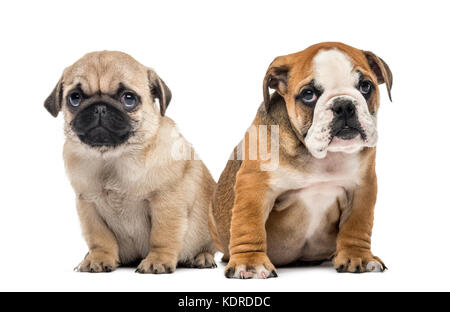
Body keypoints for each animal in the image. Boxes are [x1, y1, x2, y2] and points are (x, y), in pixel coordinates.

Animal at [44, 50, 217, 272]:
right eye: (74, 98)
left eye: (128, 98)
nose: (100, 107)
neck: (113, 158)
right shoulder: (89, 206)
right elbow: (99, 238)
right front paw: (99, 258)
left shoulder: (166, 203)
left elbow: (162, 235)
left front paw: (157, 260)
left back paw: (201, 257)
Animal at [209, 41, 392, 278]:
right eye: (308, 94)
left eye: (365, 86)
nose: (344, 105)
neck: (323, 156)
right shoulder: (254, 186)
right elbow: (249, 224)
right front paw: (250, 263)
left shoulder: (362, 187)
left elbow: (357, 226)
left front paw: (358, 257)